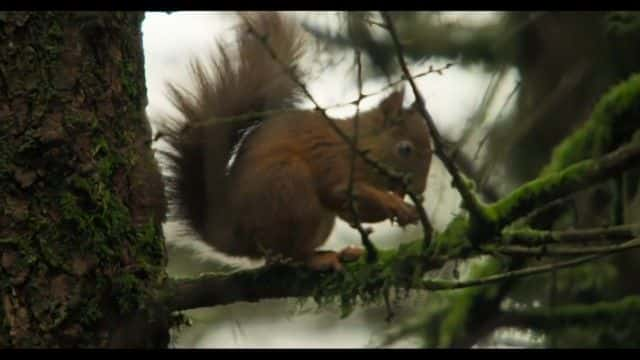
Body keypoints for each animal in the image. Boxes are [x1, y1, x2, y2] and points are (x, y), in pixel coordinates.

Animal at [158, 11, 432, 270]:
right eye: (405, 149)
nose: (420, 190)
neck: (359, 145)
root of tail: (237, 237)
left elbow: (351, 213)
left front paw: (403, 210)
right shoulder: (334, 160)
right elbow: (342, 190)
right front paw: (394, 204)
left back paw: (341, 253)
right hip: (290, 188)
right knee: (292, 253)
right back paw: (320, 259)